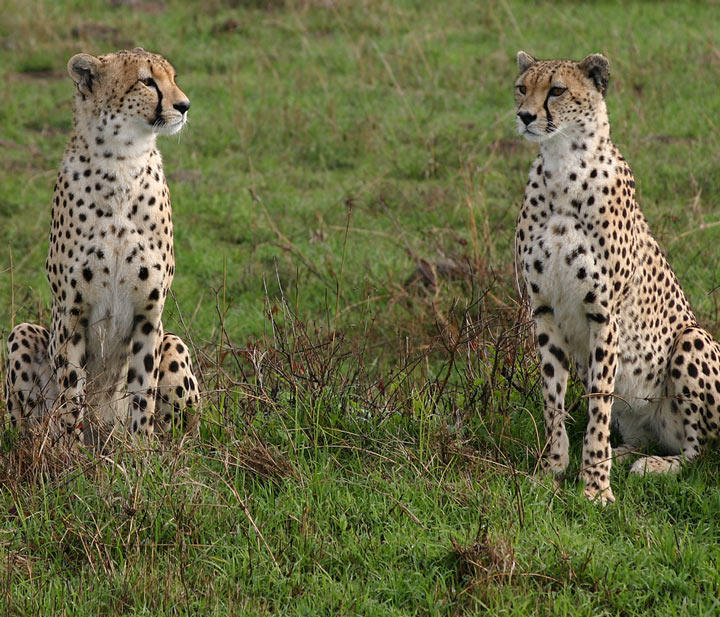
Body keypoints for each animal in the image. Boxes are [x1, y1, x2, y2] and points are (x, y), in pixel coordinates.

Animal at [5, 48, 200, 442]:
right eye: (147, 81)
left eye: (172, 78)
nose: (184, 105)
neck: (122, 161)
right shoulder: (70, 313)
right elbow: (71, 394)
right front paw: (72, 453)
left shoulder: (150, 313)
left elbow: (142, 390)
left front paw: (140, 452)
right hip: (24, 335)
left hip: (173, 342)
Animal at [516, 51, 716, 500]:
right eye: (521, 88)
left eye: (557, 90)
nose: (524, 116)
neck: (562, 164)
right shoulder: (544, 312)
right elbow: (553, 401)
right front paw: (552, 472)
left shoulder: (604, 315)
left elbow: (597, 403)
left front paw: (594, 489)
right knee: (643, 436)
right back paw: (624, 454)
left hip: (692, 339)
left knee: (700, 454)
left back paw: (655, 465)